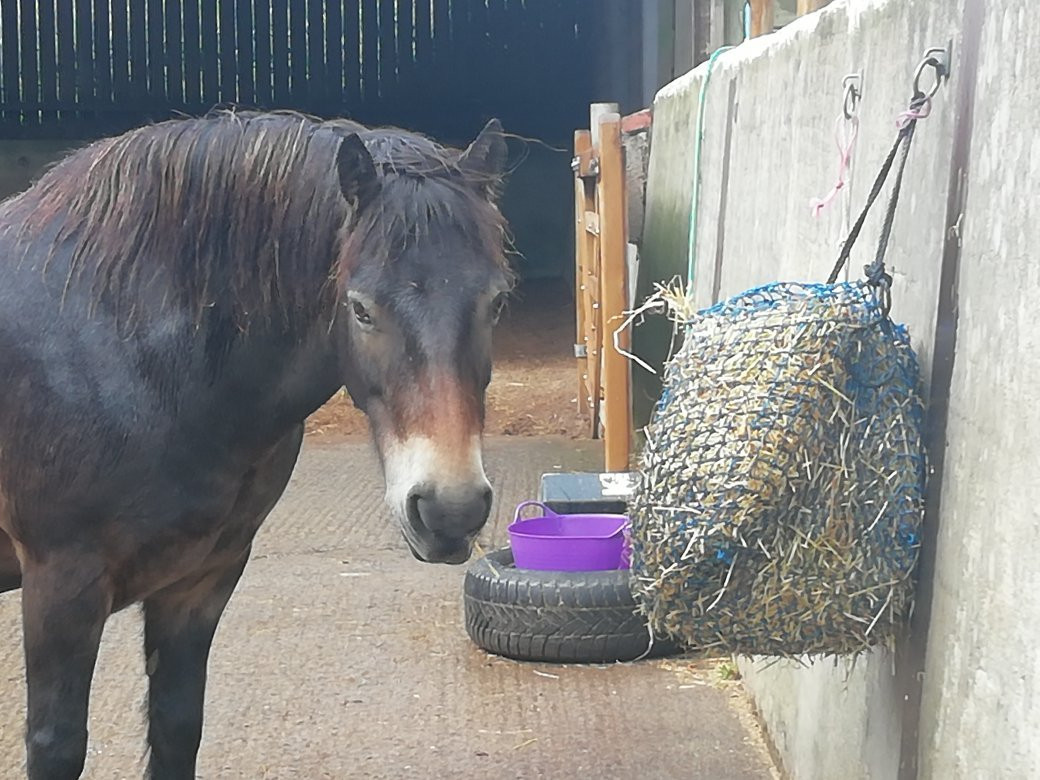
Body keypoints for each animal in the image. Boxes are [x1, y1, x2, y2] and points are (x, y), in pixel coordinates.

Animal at [0, 111, 511, 780]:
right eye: (360, 309)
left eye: (496, 302)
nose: (450, 510)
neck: (119, 343)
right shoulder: (61, 587)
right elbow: (57, 744)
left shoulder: (200, 582)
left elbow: (176, 727)